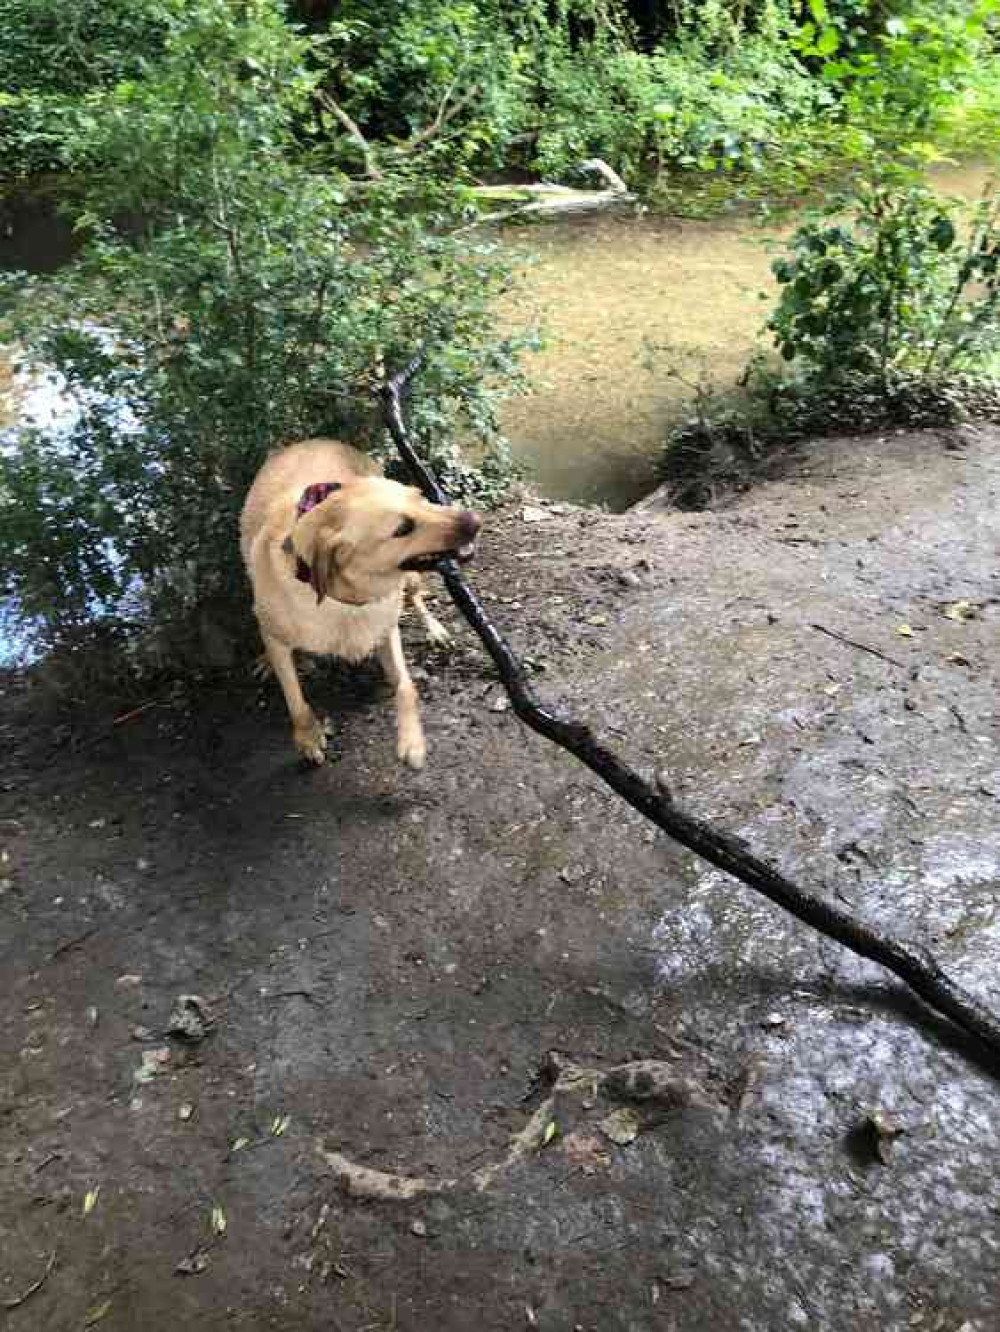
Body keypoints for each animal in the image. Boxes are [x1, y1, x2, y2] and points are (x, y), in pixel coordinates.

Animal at [238, 436, 482, 772]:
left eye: (422, 498)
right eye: (402, 528)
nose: (476, 520)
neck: (347, 599)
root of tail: (316, 439)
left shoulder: (386, 630)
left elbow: (406, 686)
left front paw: (412, 741)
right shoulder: (278, 640)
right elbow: (294, 697)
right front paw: (308, 737)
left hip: (411, 580)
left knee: (416, 598)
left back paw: (435, 629)